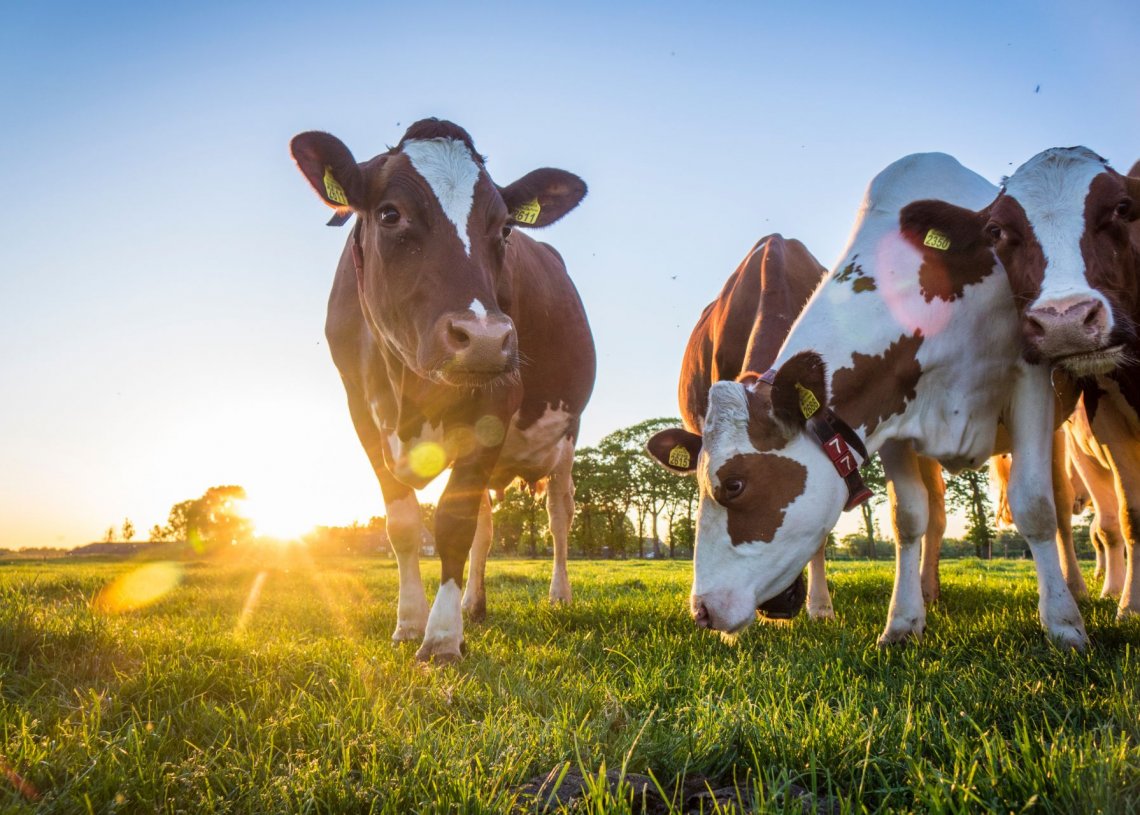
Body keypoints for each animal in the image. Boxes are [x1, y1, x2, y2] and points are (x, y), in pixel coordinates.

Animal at [290, 119, 595, 661]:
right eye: (390, 213)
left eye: (506, 228)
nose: (485, 338)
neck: (409, 389)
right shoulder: (361, 414)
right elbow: (404, 525)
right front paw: (410, 622)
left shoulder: (497, 403)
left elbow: (453, 523)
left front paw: (441, 638)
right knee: (487, 527)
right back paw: (475, 603)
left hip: (566, 435)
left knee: (559, 515)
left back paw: (558, 597)